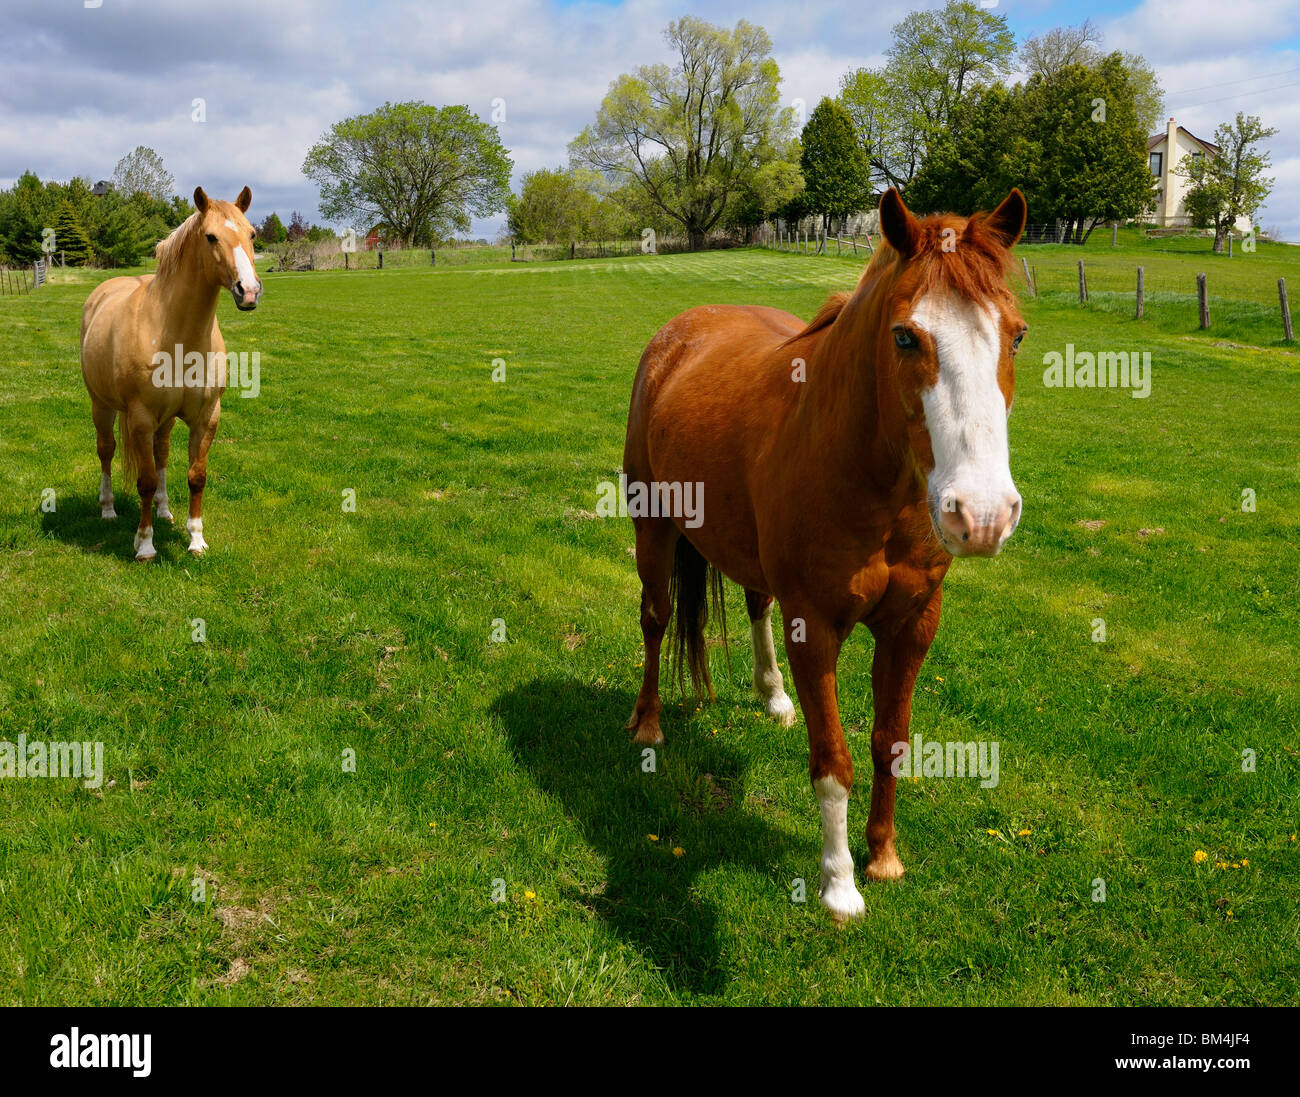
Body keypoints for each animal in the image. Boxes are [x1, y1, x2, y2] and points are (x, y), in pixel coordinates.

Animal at [80, 186, 263, 561]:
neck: (177, 334)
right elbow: (146, 480)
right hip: (101, 407)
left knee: (161, 453)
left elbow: (195, 476)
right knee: (106, 450)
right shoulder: (140, 417)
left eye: (252, 234)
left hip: (164, 421)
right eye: (211, 237)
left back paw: (164, 510)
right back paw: (108, 509)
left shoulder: (207, 417)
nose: (249, 291)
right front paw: (145, 544)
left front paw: (196, 539)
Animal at [622, 187, 1027, 921]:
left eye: (1016, 334)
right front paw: (840, 884)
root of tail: (680, 331)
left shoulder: (913, 624)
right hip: (654, 526)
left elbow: (889, 741)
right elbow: (833, 762)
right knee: (656, 617)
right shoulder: (815, 626)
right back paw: (648, 724)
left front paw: (884, 855)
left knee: (755, 605)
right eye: (905, 335)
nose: (982, 514)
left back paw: (774, 697)